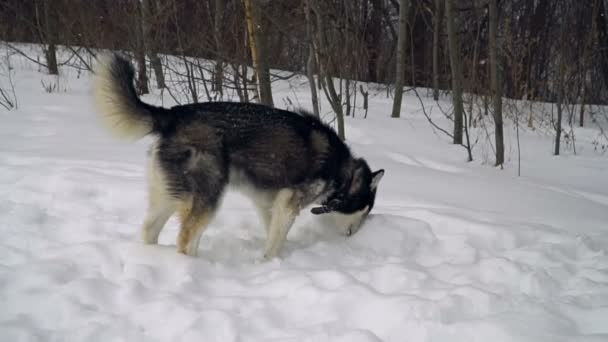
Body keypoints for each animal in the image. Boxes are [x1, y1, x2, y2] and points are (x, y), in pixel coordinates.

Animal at [92, 54, 382, 260]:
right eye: (363, 210)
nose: (353, 235)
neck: (342, 171)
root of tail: (173, 114)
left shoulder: (270, 203)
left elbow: (274, 233)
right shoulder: (289, 203)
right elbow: (275, 243)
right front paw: (270, 262)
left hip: (168, 195)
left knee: (150, 230)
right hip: (207, 196)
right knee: (185, 239)